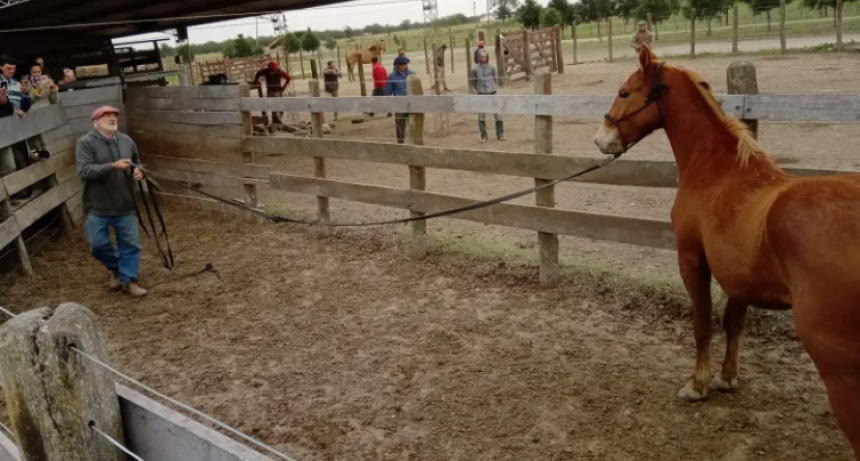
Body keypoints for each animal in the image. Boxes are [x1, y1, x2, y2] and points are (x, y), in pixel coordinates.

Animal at [594, 45, 860, 459]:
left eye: (625, 92)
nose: (600, 138)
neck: (719, 170)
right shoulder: (739, 277)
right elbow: (733, 324)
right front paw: (726, 378)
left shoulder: (692, 260)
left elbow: (702, 323)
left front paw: (697, 385)